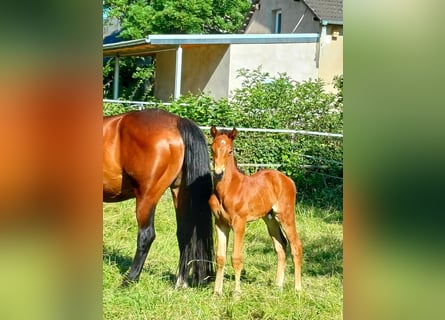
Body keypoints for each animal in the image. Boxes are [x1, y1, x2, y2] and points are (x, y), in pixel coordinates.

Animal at [104, 109, 215, 288]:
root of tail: (177, 122)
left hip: (147, 196)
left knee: (146, 235)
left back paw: (130, 279)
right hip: (180, 193)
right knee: (184, 233)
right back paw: (180, 283)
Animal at [208, 126, 302, 296]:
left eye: (230, 151)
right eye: (212, 148)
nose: (218, 172)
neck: (226, 190)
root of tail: (287, 180)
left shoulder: (239, 223)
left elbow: (236, 258)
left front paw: (236, 293)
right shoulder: (220, 223)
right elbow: (220, 258)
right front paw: (217, 293)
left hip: (285, 216)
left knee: (296, 245)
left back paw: (298, 289)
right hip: (270, 219)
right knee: (281, 246)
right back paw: (278, 287)